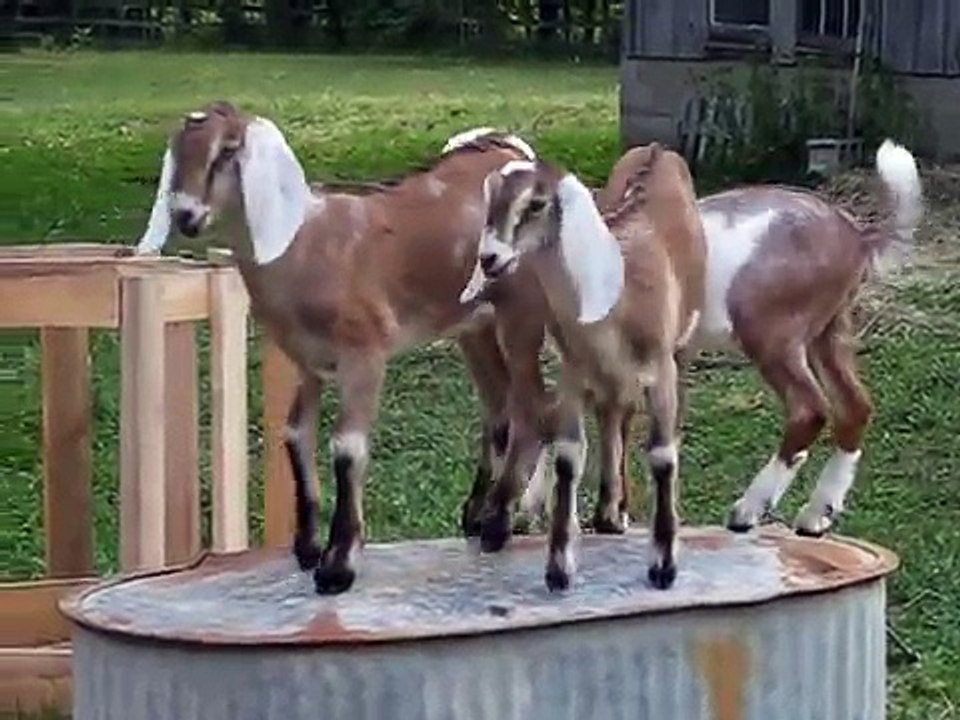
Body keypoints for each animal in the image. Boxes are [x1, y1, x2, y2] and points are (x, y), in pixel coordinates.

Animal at [132, 101, 545, 594]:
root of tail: (511, 150)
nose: (186, 217)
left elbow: (347, 448)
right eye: (178, 150)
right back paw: (479, 516)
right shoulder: (307, 362)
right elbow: (295, 435)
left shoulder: (364, 354)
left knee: (528, 402)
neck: (305, 246)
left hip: (518, 314)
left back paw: (500, 524)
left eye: (227, 151)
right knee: (500, 407)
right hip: (473, 325)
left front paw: (338, 565)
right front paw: (308, 548)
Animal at [461, 144, 707, 591]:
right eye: (491, 200)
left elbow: (663, 456)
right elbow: (568, 457)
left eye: (536, 203)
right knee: (614, 417)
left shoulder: (660, 368)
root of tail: (657, 149)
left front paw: (663, 566)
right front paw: (559, 567)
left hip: (681, 348)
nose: (490, 259)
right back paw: (608, 512)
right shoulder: (574, 373)